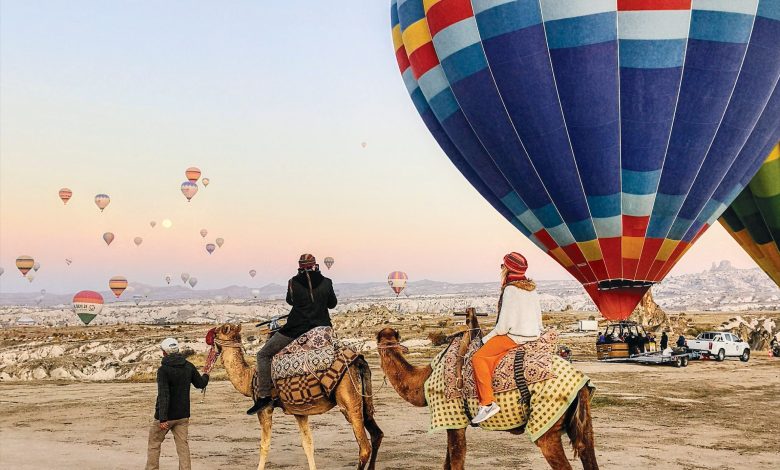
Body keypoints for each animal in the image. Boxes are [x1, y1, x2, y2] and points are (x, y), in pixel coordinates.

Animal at [213, 324, 384, 470]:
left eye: (220, 330)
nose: (211, 335)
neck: (249, 377)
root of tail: (359, 361)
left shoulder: (265, 407)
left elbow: (264, 445)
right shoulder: (300, 411)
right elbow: (308, 444)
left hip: (349, 402)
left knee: (364, 447)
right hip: (364, 401)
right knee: (377, 434)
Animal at [376, 310, 596, 468]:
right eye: (384, 338)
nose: (385, 343)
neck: (424, 380)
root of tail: (582, 383)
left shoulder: (453, 418)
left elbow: (456, 462)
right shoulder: (452, 421)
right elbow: (447, 463)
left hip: (546, 425)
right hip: (580, 425)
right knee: (587, 451)